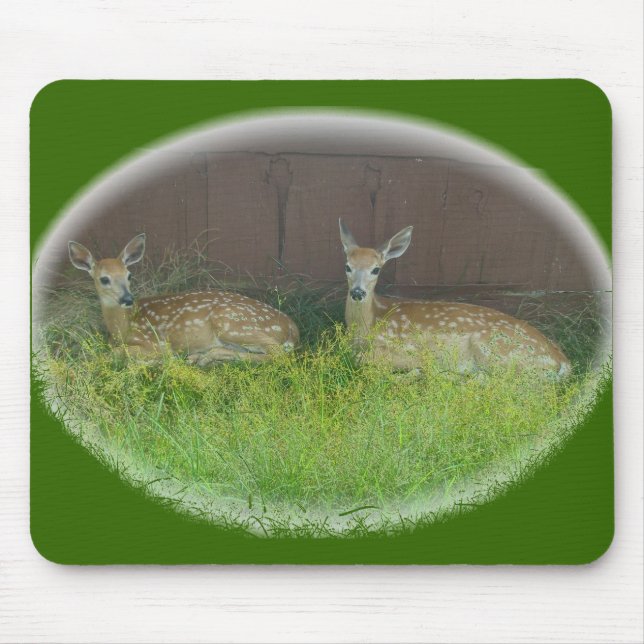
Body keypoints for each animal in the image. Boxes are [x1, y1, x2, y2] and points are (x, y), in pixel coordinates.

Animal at [68, 233, 299, 365]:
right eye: (104, 279)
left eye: (129, 275)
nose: (127, 298)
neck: (123, 327)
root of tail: (292, 328)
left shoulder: (156, 343)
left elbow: (116, 353)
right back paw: (199, 357)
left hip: (233, 324)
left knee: (278, 354)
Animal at [339, 219, 571, 378]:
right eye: (348, 266)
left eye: (376, 269)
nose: (357, 292)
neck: (369, 324)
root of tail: (563, 361)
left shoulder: (409, 348)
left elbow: (363, 359)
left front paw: (416, 372)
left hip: (494, 349)